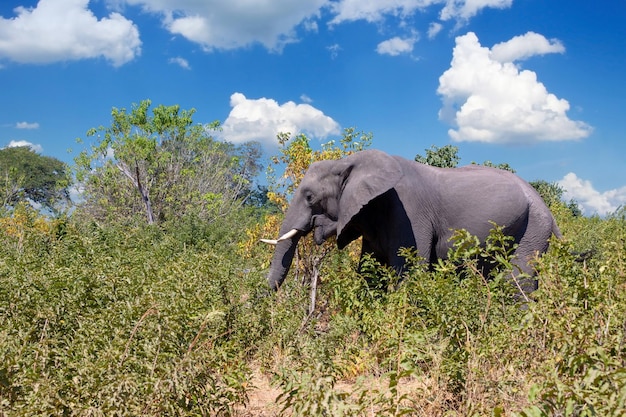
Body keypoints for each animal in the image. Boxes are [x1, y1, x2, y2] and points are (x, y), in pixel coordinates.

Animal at [260, 150, 564, 296]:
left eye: (310, 197)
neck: (349, 162)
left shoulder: (407, 212)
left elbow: (409, 269)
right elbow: (369, 272)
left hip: (533, 229)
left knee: (517, 280)